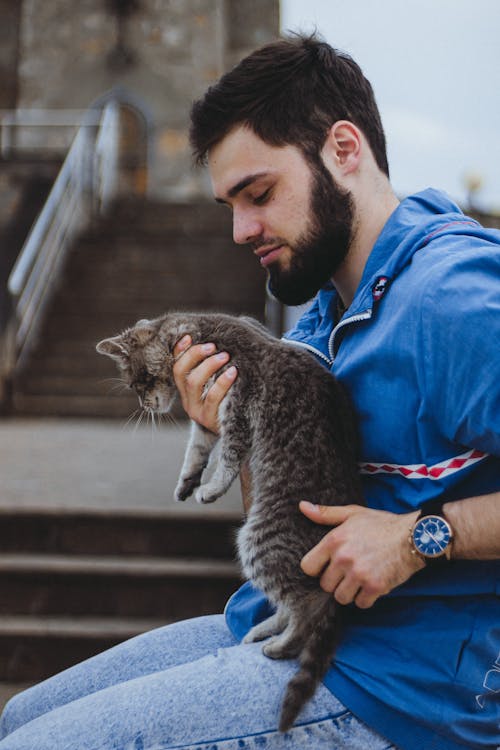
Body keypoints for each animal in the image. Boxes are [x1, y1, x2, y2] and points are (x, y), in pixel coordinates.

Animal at [96, 312, 364, 736]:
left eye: (141, 382)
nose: (146, 405)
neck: (179, 328)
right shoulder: (214, 399)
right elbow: (199, 442)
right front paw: (188, 477)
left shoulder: (238, 394)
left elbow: (230, 451)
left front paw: (214, 483)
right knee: (290, 599)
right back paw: (268, 627)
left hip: (261, 538)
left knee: (308, 605)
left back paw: (284, 641)